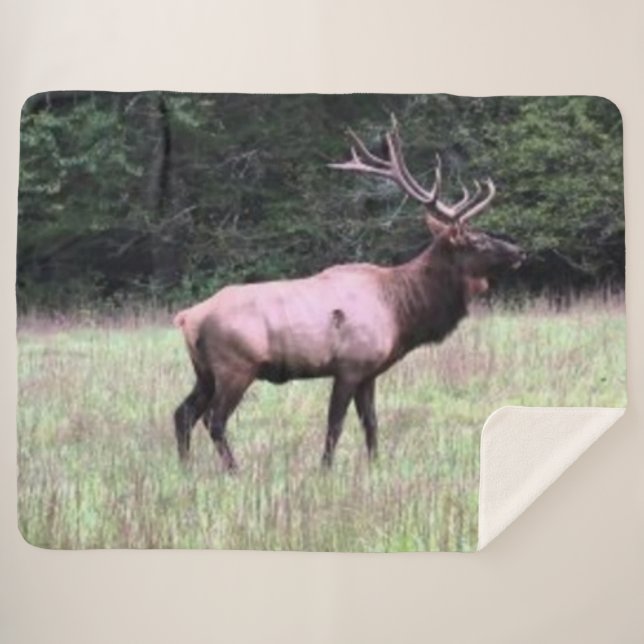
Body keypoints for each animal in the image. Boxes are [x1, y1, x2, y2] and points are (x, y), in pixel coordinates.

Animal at [173, 117, 526, 470]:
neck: (401, 312)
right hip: (236, 366)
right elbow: (335, 424)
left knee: (183, 412)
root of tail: (187, 317)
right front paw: (326, 469)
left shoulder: (369, 371)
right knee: (214, 420)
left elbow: (371, 422)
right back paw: (234, 469)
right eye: (477, 240)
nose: (519, 251)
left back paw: (186, 467)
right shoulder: (350, 365)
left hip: (205, 371)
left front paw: (375, 465)